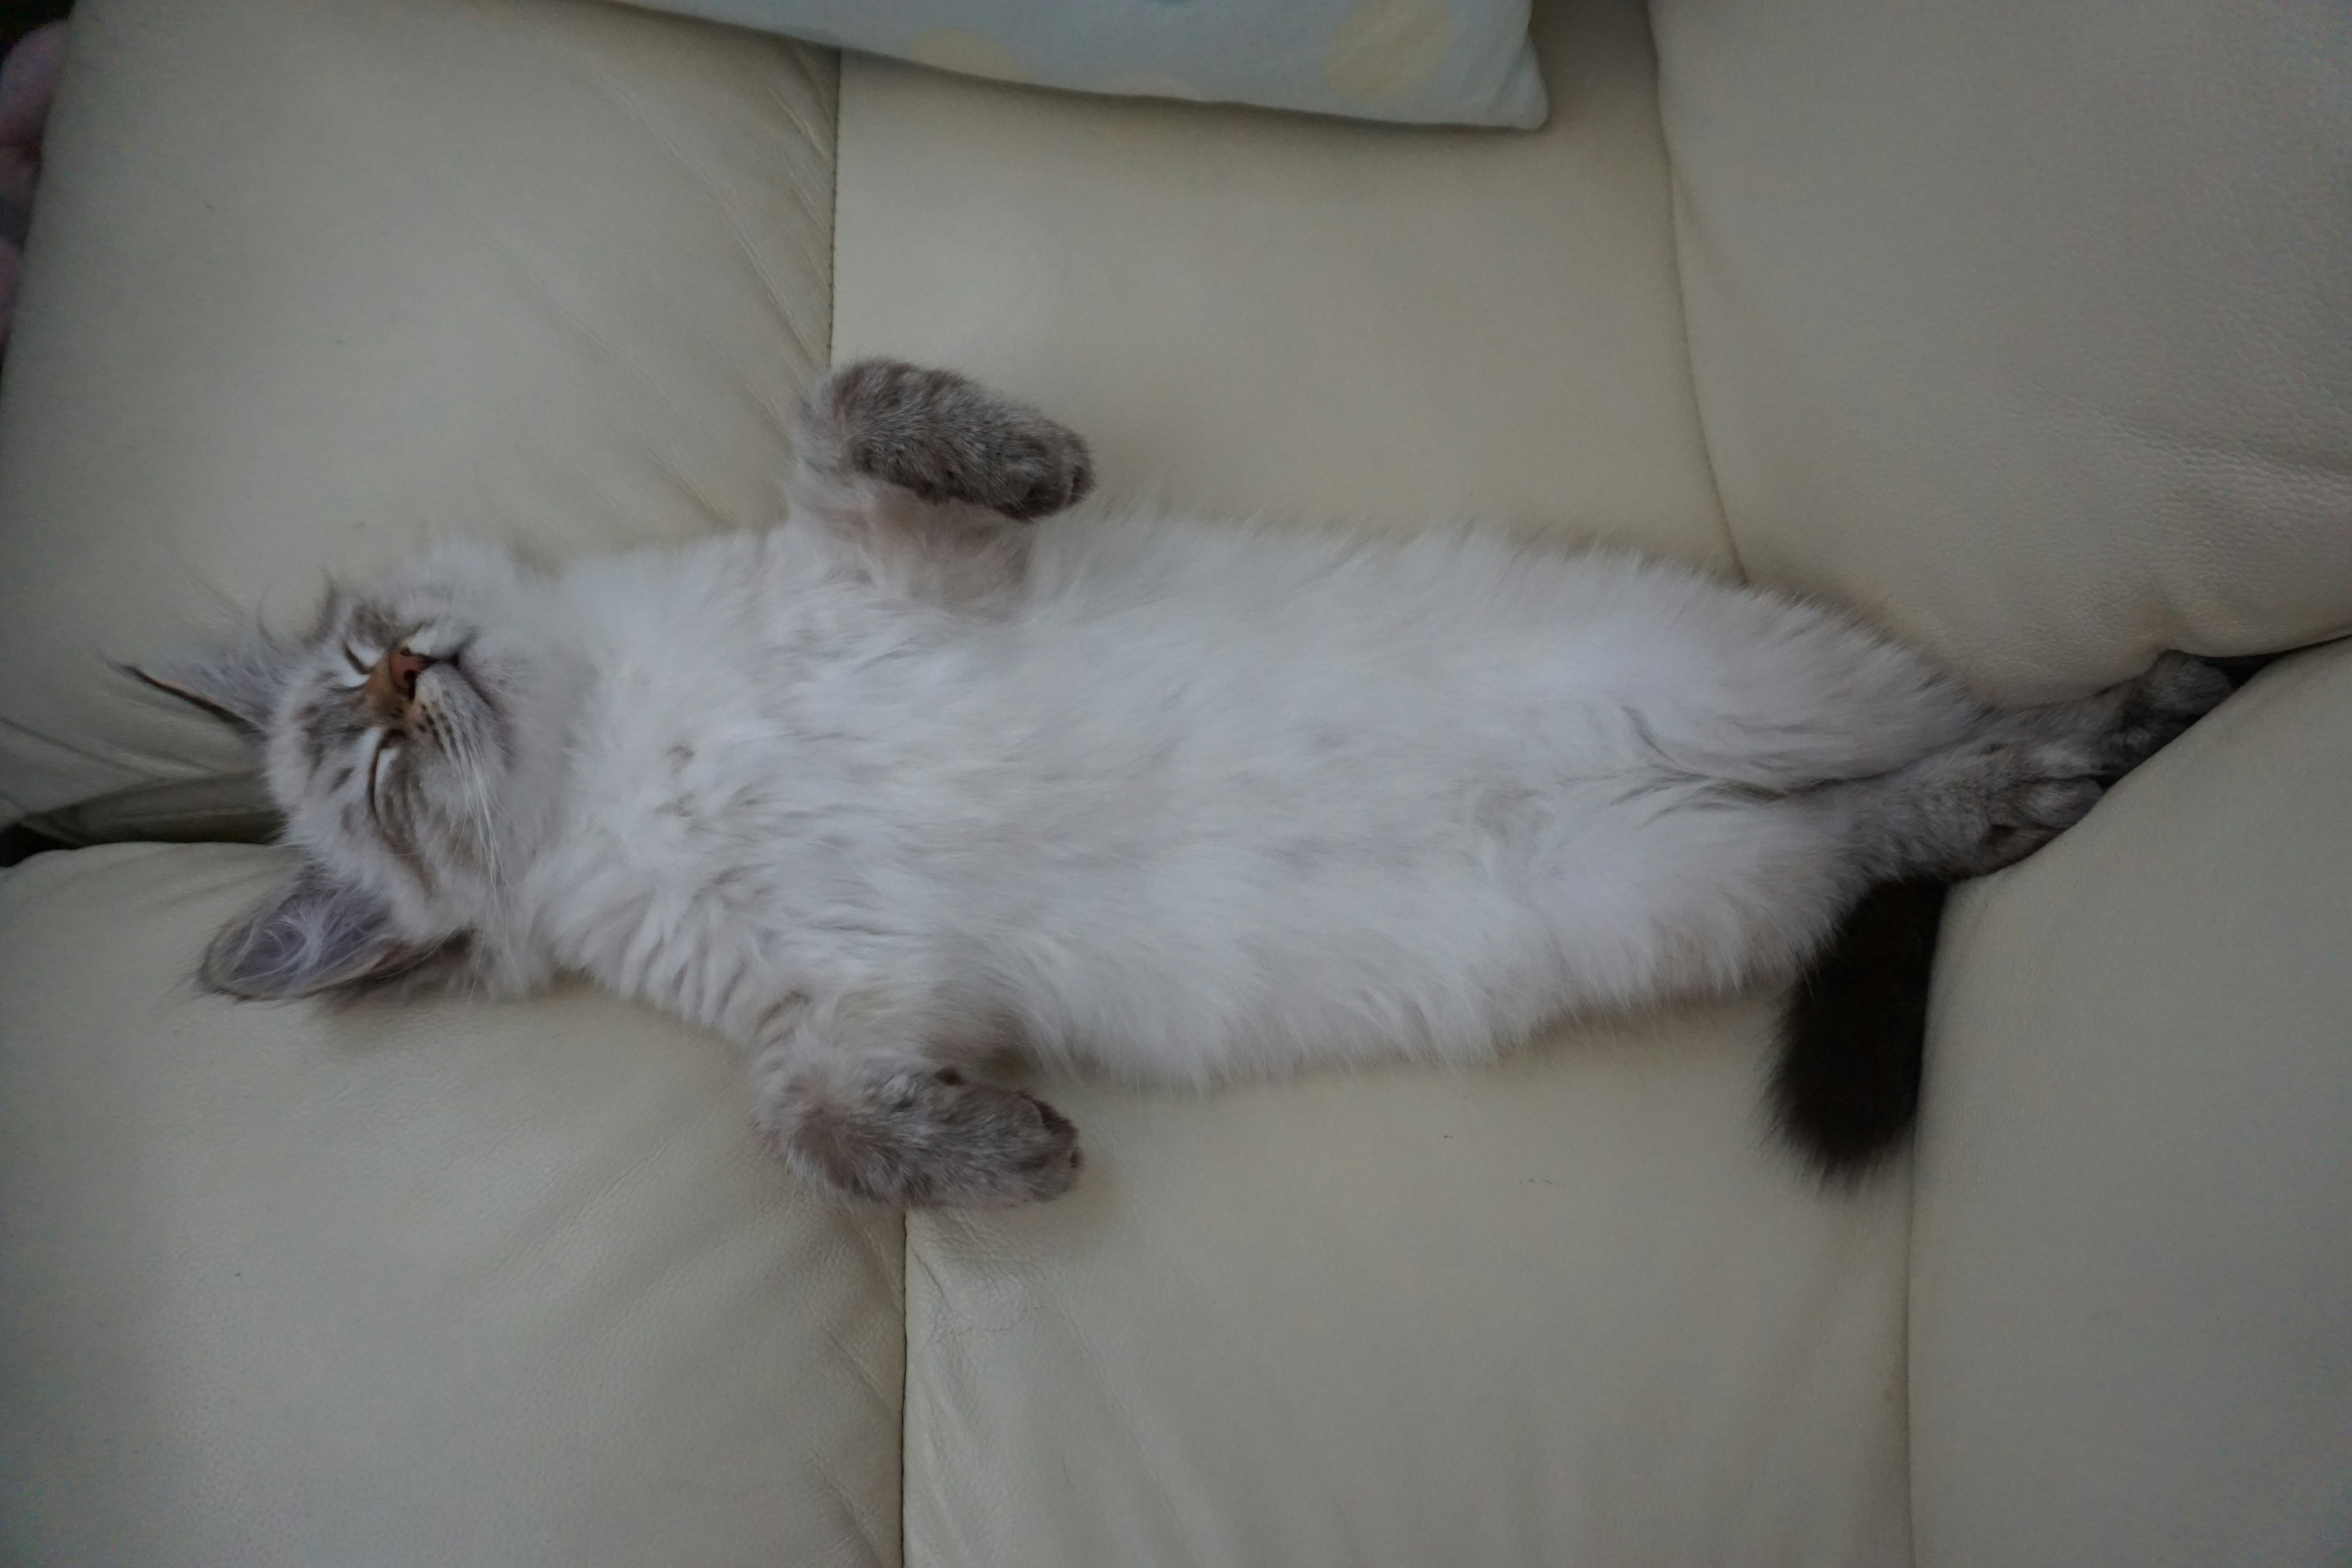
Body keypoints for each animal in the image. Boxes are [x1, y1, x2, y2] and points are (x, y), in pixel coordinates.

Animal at [137, 362, 2230, 1213]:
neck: (614, 759)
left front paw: (1051, 460)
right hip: (1677, 870)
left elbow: (849, 399)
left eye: (368, 673)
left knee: (1935, 733)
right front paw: (1018, 1163)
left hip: (1724, 684)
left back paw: (2144, 704)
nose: (412, 677)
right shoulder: (857, 1003)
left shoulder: (891, 558)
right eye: (367, 748)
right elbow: (802, 1122)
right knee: (1887, 823)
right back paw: (2087, 754)